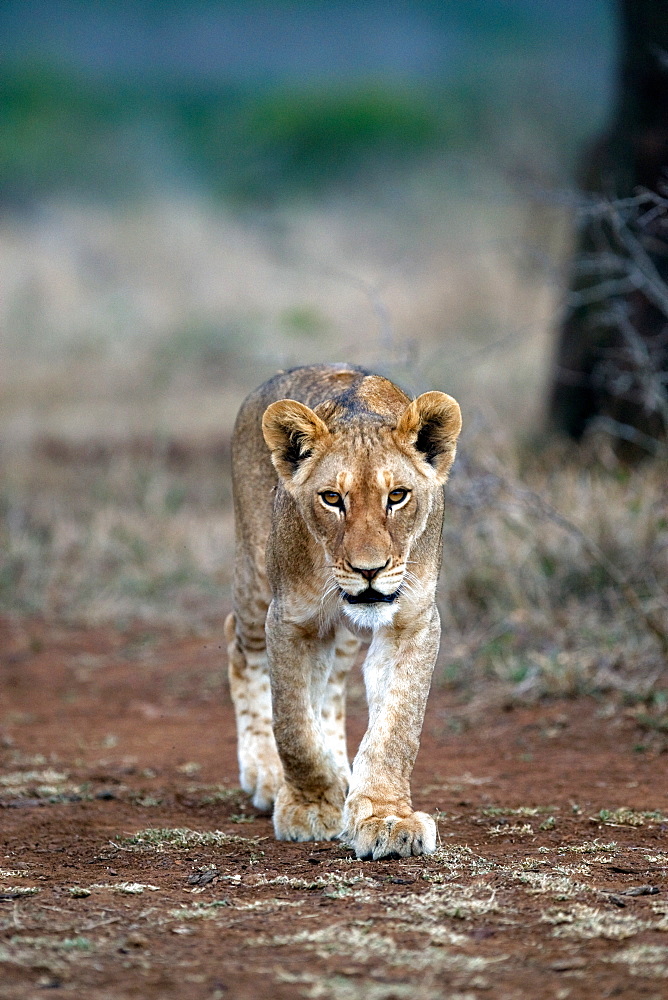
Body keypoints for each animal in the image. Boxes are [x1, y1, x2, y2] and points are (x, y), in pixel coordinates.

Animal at [224, 364, 460, 856]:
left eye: (398, 496)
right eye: (332, 498)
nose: (369, 570)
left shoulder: (412, 622)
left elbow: (396, 728)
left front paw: (385, 818)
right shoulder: (291, 619)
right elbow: (293, 725)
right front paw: (311, 805)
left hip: (344, 629)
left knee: (331, 687)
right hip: (254, 575)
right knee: (240, 649)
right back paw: (265, 774)